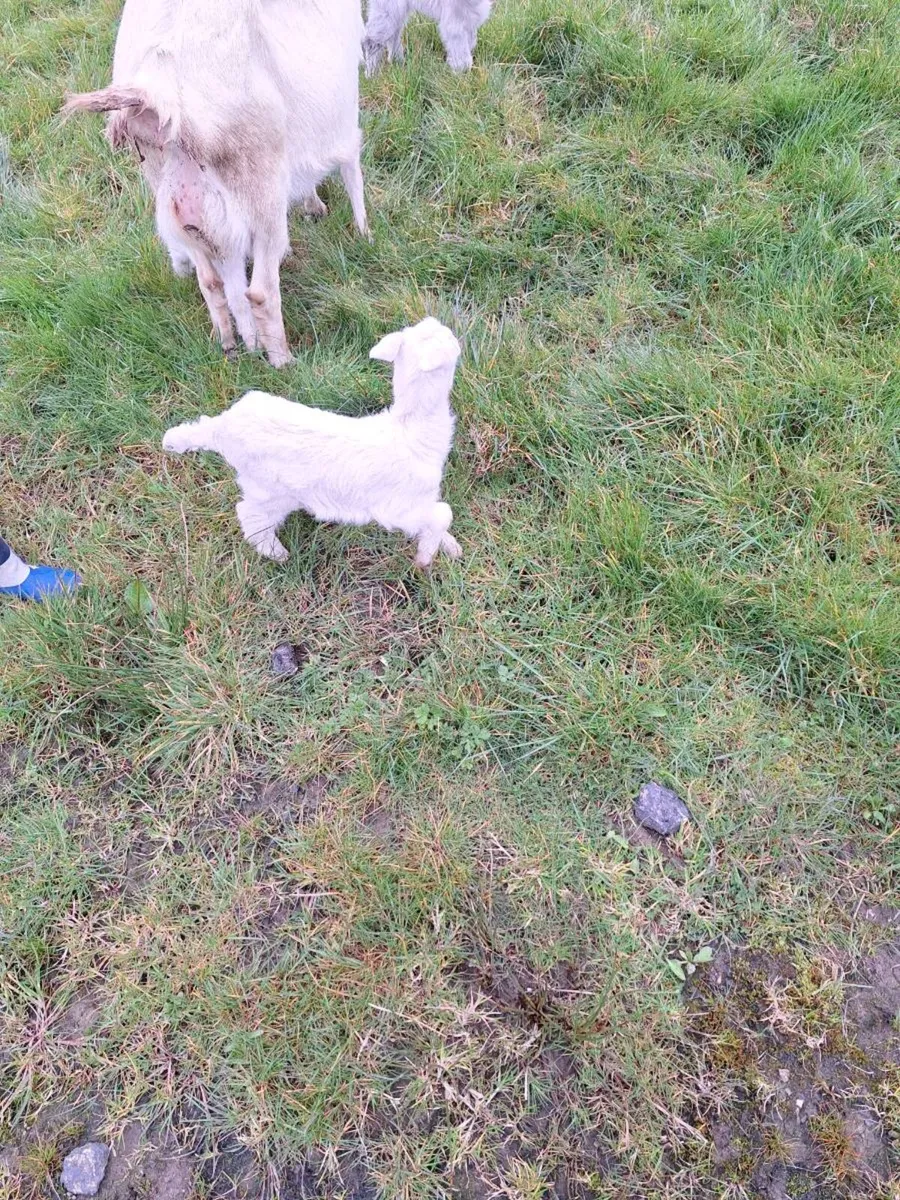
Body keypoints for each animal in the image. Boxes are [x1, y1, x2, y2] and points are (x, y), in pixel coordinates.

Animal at [63, 0, 368, 368]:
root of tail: (161, 84)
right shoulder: (342, 109)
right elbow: (352, 169)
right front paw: (365, 233)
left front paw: (316, 208)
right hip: (259, 189)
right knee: (260, 291)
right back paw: (284, 361)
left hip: (185, 210)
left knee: (212, 282)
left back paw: (233, 346)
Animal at [162, 318, 463, 567]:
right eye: (447, 337)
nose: (456, 335)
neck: (411, 425)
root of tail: (224, 428)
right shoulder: (400, 507)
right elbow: (442, 514)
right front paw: (425, 558)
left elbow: (436, 519)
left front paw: (450, 547)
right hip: (270, 490)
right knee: (250, 515)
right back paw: (277, 553)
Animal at [363, 0, 493, 74]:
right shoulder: (454, 23)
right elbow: (462, 57)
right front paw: (461, 79)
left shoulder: (469, 21)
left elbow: (468, 46)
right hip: (387, 8)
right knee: (371, 39)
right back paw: (372, 75)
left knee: (394, 32)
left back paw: (397, 61)